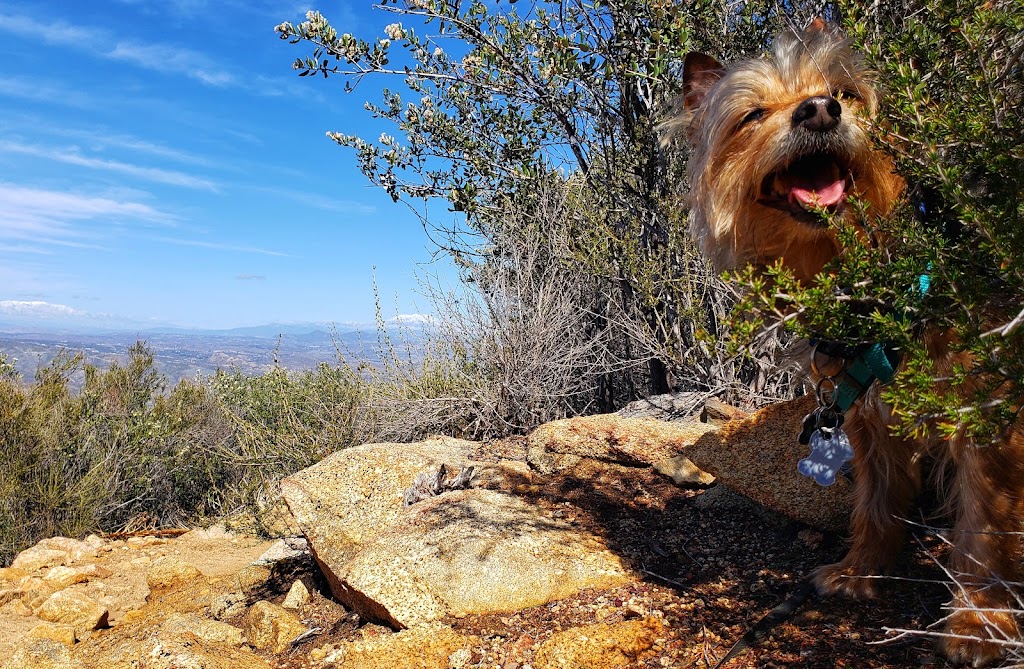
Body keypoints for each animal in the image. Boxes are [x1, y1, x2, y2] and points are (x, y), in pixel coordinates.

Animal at [663, 18, 1024, 663]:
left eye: (845, 93)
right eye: (752, 115)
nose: (819, 111)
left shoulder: (985, 409)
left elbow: (987, 518)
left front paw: (980, 621)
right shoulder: (866, 414)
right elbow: (877, 500)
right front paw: (861, 572)